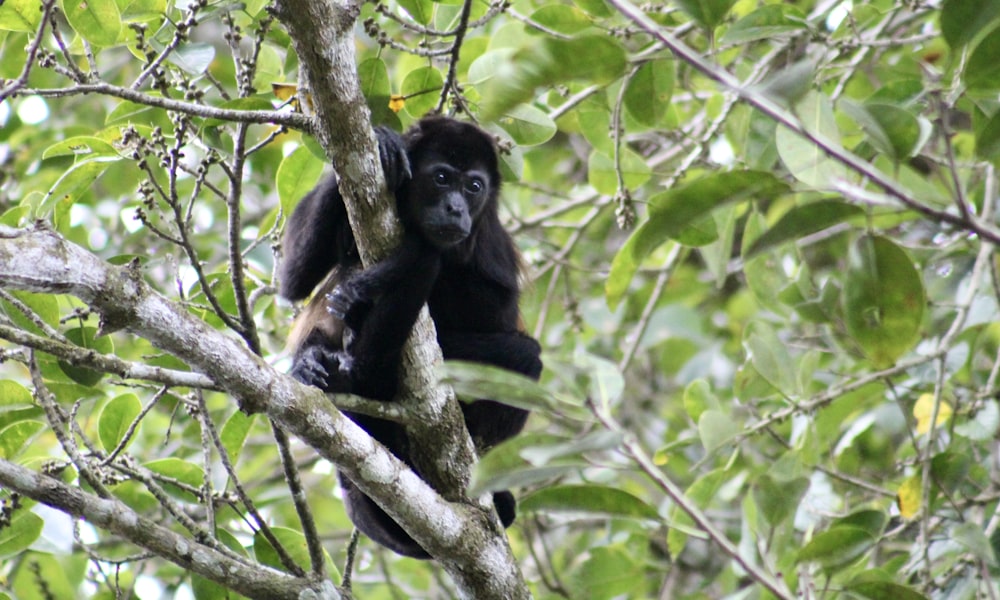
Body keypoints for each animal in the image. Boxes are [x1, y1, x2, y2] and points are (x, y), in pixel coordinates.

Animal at [278, 116, 544, 556]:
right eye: (441, 178)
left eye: (474, 187)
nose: (456, 208)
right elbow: (294, 278)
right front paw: (384, 139)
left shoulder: (491, 244)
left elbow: (496, 315)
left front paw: (372, 287)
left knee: (527, 356)